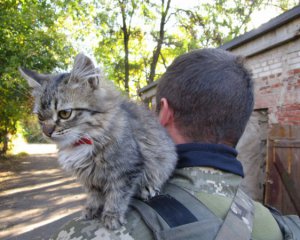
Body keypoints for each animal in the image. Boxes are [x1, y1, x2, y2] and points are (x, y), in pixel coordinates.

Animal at [19, 53, 178, 230]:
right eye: (40, 117)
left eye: (64, 114)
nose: (47, 132)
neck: (82, 142)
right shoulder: (90, 178)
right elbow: (94, 195)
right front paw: (91, 209)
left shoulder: (127, 169)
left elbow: (117, 195)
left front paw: (112, 215)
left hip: (164, 160)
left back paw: (147, 189)